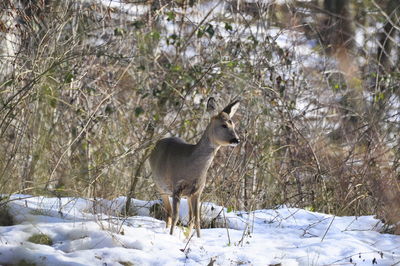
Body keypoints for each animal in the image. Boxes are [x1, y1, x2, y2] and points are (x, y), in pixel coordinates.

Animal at [148, 99, 239, 237]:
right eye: (224, 125)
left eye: (233, 124)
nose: (236, 139)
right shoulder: (177, 187)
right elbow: (176, 216)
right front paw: (171, 236)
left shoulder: (197, 191)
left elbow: (197, 219)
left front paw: (198, 238)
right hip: (160, 185)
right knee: (169, 212)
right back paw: (167, 231)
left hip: (187, 195)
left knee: (189, 216)